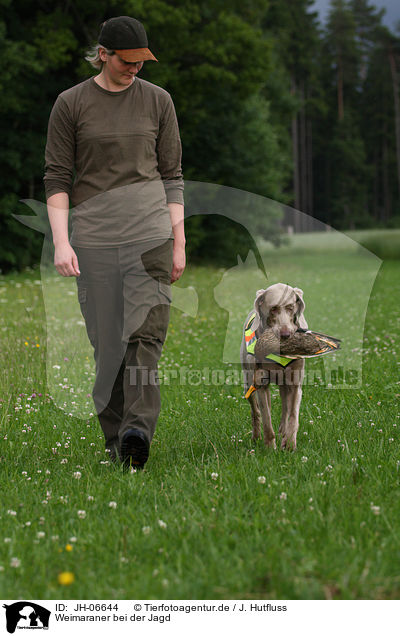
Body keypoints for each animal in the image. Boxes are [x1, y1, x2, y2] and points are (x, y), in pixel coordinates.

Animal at [239, 284, 308, 452]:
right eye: (273, 309)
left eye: (290, 307)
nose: (286, 334)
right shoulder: (261, 385)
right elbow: (266, 418)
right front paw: (270, 447)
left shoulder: (296, 385)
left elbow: (293, 415)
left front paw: (289, 444)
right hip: (248, 383)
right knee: (256, 411)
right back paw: (256, 436)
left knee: (285, 405)